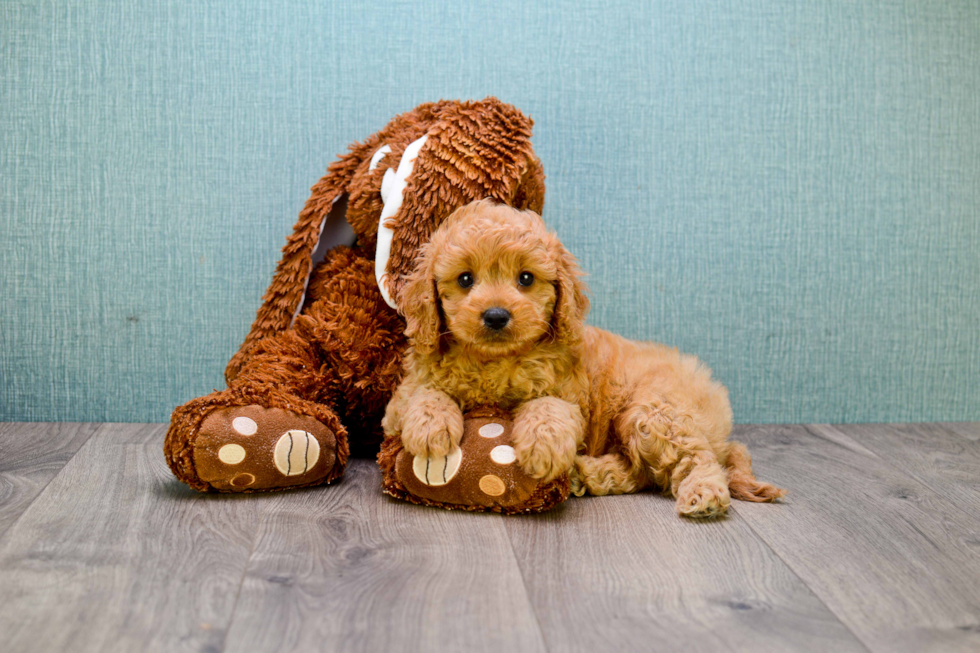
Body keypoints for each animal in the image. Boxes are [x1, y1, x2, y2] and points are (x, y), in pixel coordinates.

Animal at [380, 199, 780, 516]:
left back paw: (703, 493)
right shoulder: (402, 395)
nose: (495, 316)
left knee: (695, 458)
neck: (494, 360)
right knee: (642, 473)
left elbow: (548, 408)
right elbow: (425, 393)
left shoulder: (568, 393)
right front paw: (430, 428)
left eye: (526, 278)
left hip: (654, 413)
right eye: (465, 279)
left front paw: (542, 447)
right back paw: (586, 475)